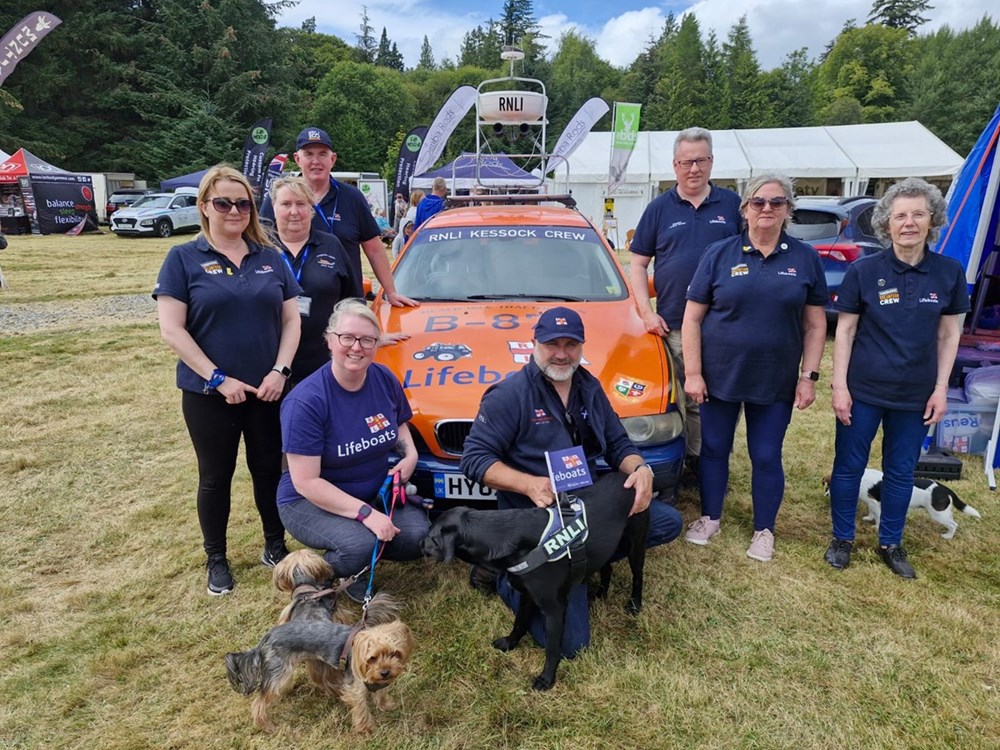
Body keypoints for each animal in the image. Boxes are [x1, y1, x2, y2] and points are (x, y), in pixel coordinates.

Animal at [824, 470, 980, 540]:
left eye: (831, 486)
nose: (826, 496)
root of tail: (944, 488)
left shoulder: (876, 505)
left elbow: (878, 518)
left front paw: (876, 527)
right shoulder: (872, 503)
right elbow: (871, 513)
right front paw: (869, 519)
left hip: (937, 514)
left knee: (954, 524)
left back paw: (948, 536)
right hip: (943, 512)